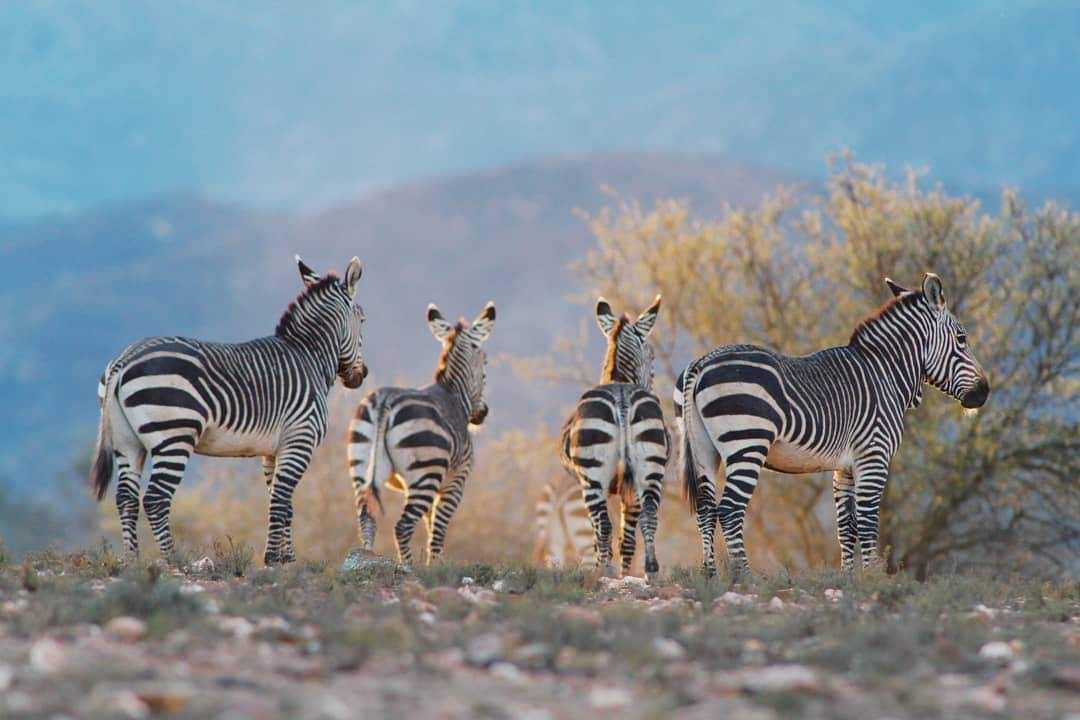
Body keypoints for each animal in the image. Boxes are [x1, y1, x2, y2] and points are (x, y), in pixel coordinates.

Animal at [89, 255, 367, 565]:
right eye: (363, 320)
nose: (361, 375)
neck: (309, 356)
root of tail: (123, 360)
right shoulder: (299, 441)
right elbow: (281, 500)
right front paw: (273, 559)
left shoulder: (273, 451)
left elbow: (282, 504)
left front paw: (286, 560)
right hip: (174, 436)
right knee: (155, 498)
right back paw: (175, 560)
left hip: (127, 441)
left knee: (126, 498)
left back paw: (132, 561)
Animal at [347, 302, 494, 565]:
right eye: (485, 363)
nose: (482, 414)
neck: (455, 394)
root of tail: (385, 401)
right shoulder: (455, 481)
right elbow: (438, 528)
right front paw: (436, 566)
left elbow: (429, 522)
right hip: (426, 472)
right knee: (402, 527)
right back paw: (407, 567)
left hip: (362, 466)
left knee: (367, 518)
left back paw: (367, 558)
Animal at [561, 293, 669, 578]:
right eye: (652, 359)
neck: (619, 379)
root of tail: (621, 399)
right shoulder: (629, 486)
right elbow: (627, 538)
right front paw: (625, 573)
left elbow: (600, 534)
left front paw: (609, 568)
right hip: (649, 469)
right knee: (649, 517)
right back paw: (651, 570)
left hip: (592, 478)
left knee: (603, 524)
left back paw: (603, 571)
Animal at [678, 273, 989, 578]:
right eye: (962, 338)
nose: (984, 392)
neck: (886, 373)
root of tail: (701, 363)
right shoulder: (873, 456)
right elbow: (867, 520)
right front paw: (872, 579)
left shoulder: (845, 467)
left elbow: (846, 526)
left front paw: (849, 578)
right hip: (747, 443)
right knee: (730, 510)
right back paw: (744, 577)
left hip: (703, 448)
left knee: (706, 509)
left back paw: (710, 576)